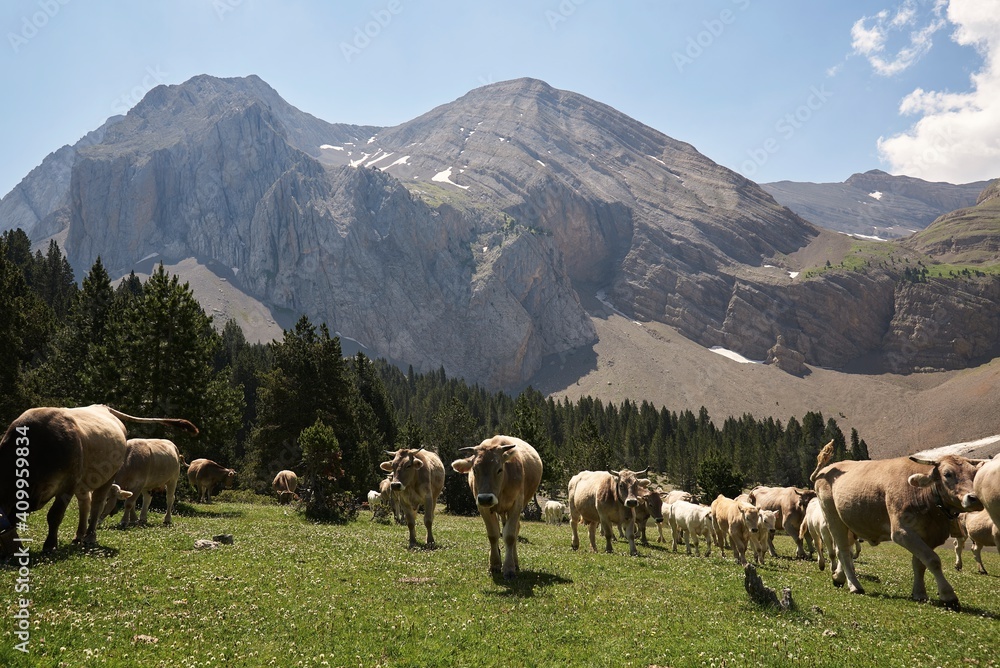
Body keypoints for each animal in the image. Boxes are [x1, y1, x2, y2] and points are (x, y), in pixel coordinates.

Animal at [0, 405, 197, 555]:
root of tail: (103, 407)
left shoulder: (68, 484)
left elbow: (55, 515)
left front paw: (50, 545)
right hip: (88, 481)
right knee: (87, 504)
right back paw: (81, 534)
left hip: (153, 480)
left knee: (98, 503)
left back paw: (91, 535)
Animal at [452, 436, 542, 579]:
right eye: (474, 470)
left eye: (499, 469)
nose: (485, 498)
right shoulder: (482, 507)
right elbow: (493, 534)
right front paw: (494, 564)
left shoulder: (516, 504)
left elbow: (510, 535)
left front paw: (509, 568)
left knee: (514, 530)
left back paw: (515, 562)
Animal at [810, 441, 985, 609]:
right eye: (947, 474)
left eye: (974, 474)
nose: (974, 498)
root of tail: (826, 470)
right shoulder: (902, 532)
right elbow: (933, 560)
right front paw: (948, 596)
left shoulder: (929, 536)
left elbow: (919, 563)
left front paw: (919, 593)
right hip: (833, 518)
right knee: (843, 551)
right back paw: (855, 586)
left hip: (850, 523)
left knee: (844, 548)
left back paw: (839, 577)